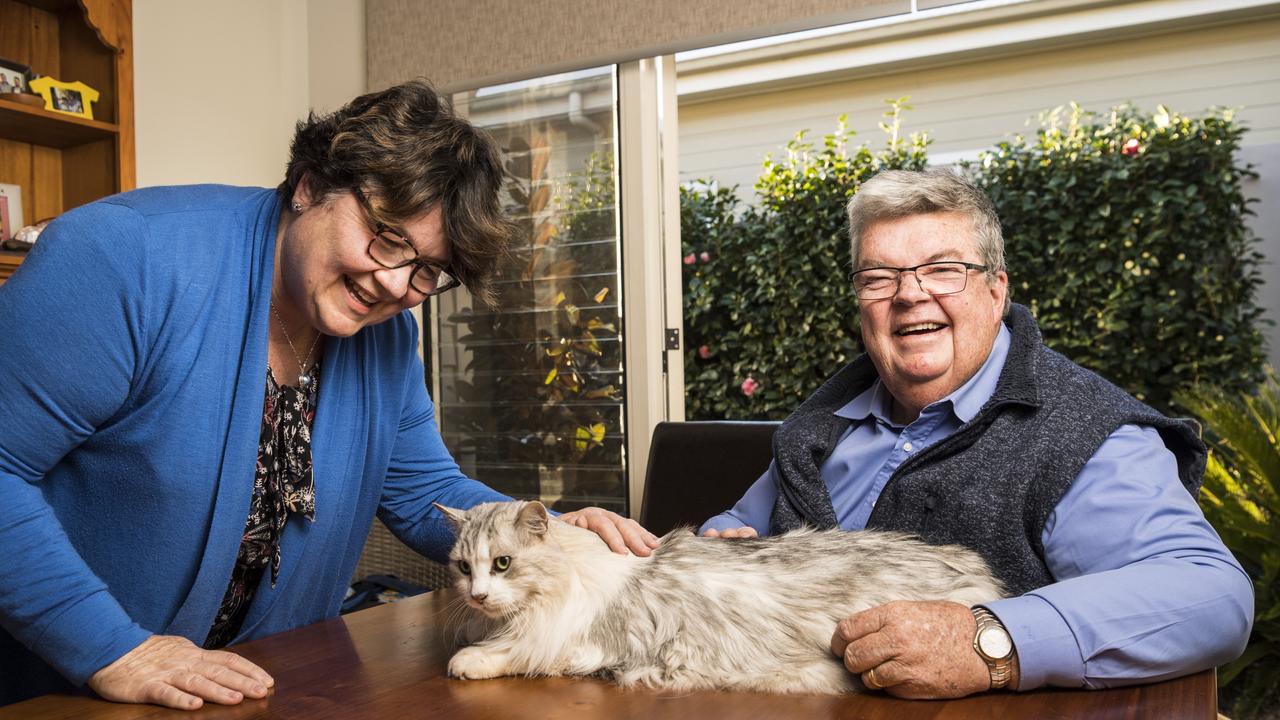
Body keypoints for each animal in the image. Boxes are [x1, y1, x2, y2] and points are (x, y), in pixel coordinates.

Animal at [435, 497, 1003, 691]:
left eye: (503, 563)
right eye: (464, 567)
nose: (478, 596)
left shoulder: (578, 642)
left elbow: (518, 653)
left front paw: (470, 659)